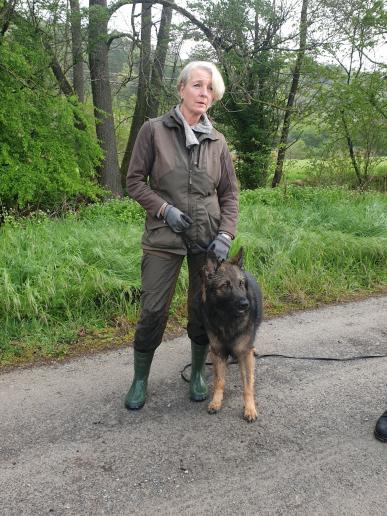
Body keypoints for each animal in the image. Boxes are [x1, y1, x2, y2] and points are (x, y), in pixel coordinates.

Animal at [202, 248, 262, 422]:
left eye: (240, 284)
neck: (227, 319)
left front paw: (250, 408)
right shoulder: (218, 353)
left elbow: (247, 386)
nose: (245, 305)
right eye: (225, 285)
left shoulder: (244, 354)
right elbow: (219, 381)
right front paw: (216, 401)